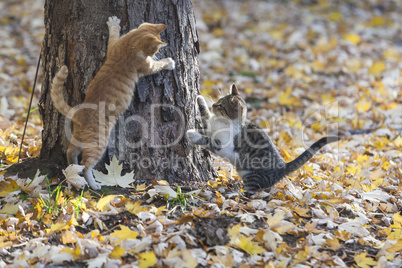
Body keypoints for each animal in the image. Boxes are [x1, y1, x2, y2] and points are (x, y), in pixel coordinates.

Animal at [51, 16, 174, 189]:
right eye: (155, 51)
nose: (157, 53)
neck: (129, 44)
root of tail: (79, 112)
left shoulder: (113, 47)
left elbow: (113, 36)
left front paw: (114, 24)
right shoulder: (147, 67)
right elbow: (158, 65)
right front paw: (168, 62)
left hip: (79, 138)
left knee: (71, 152)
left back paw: (74, 173)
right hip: (98, 143)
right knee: (87, 164)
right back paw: (92, 183)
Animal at [187, 84, 338, 191]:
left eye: (221, 105)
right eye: (218, 100)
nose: (213, 105)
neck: (223, 122)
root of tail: (283, 166)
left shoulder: (224, 146)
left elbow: (208, 140)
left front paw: (193, 134)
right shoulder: (209, 125)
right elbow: (205, 115)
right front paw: (200, 99)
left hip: (252, 175)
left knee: (253, 191)